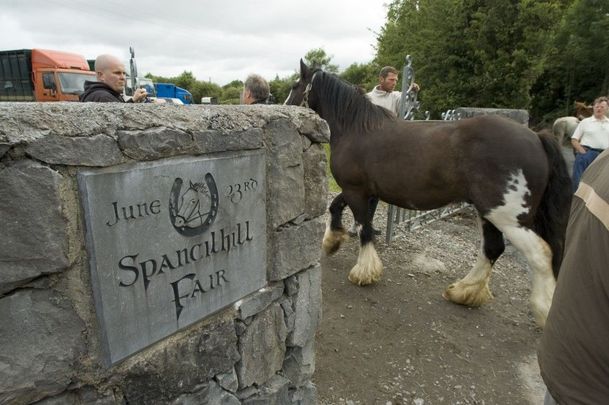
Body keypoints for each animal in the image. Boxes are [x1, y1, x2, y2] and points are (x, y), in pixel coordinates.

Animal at [284, 60, 568, 326]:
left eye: (295, 86)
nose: (284, 106)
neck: (356, 129)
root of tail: (536, 137)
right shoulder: (361, 190)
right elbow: (336, 208)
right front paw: (332, 242)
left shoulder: (356, 191)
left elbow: (364, 228)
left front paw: (364, 271)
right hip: (489, 212)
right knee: (493, 248)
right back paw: (464, 291)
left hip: (507, 217)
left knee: (540, 255)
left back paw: (543, 311)